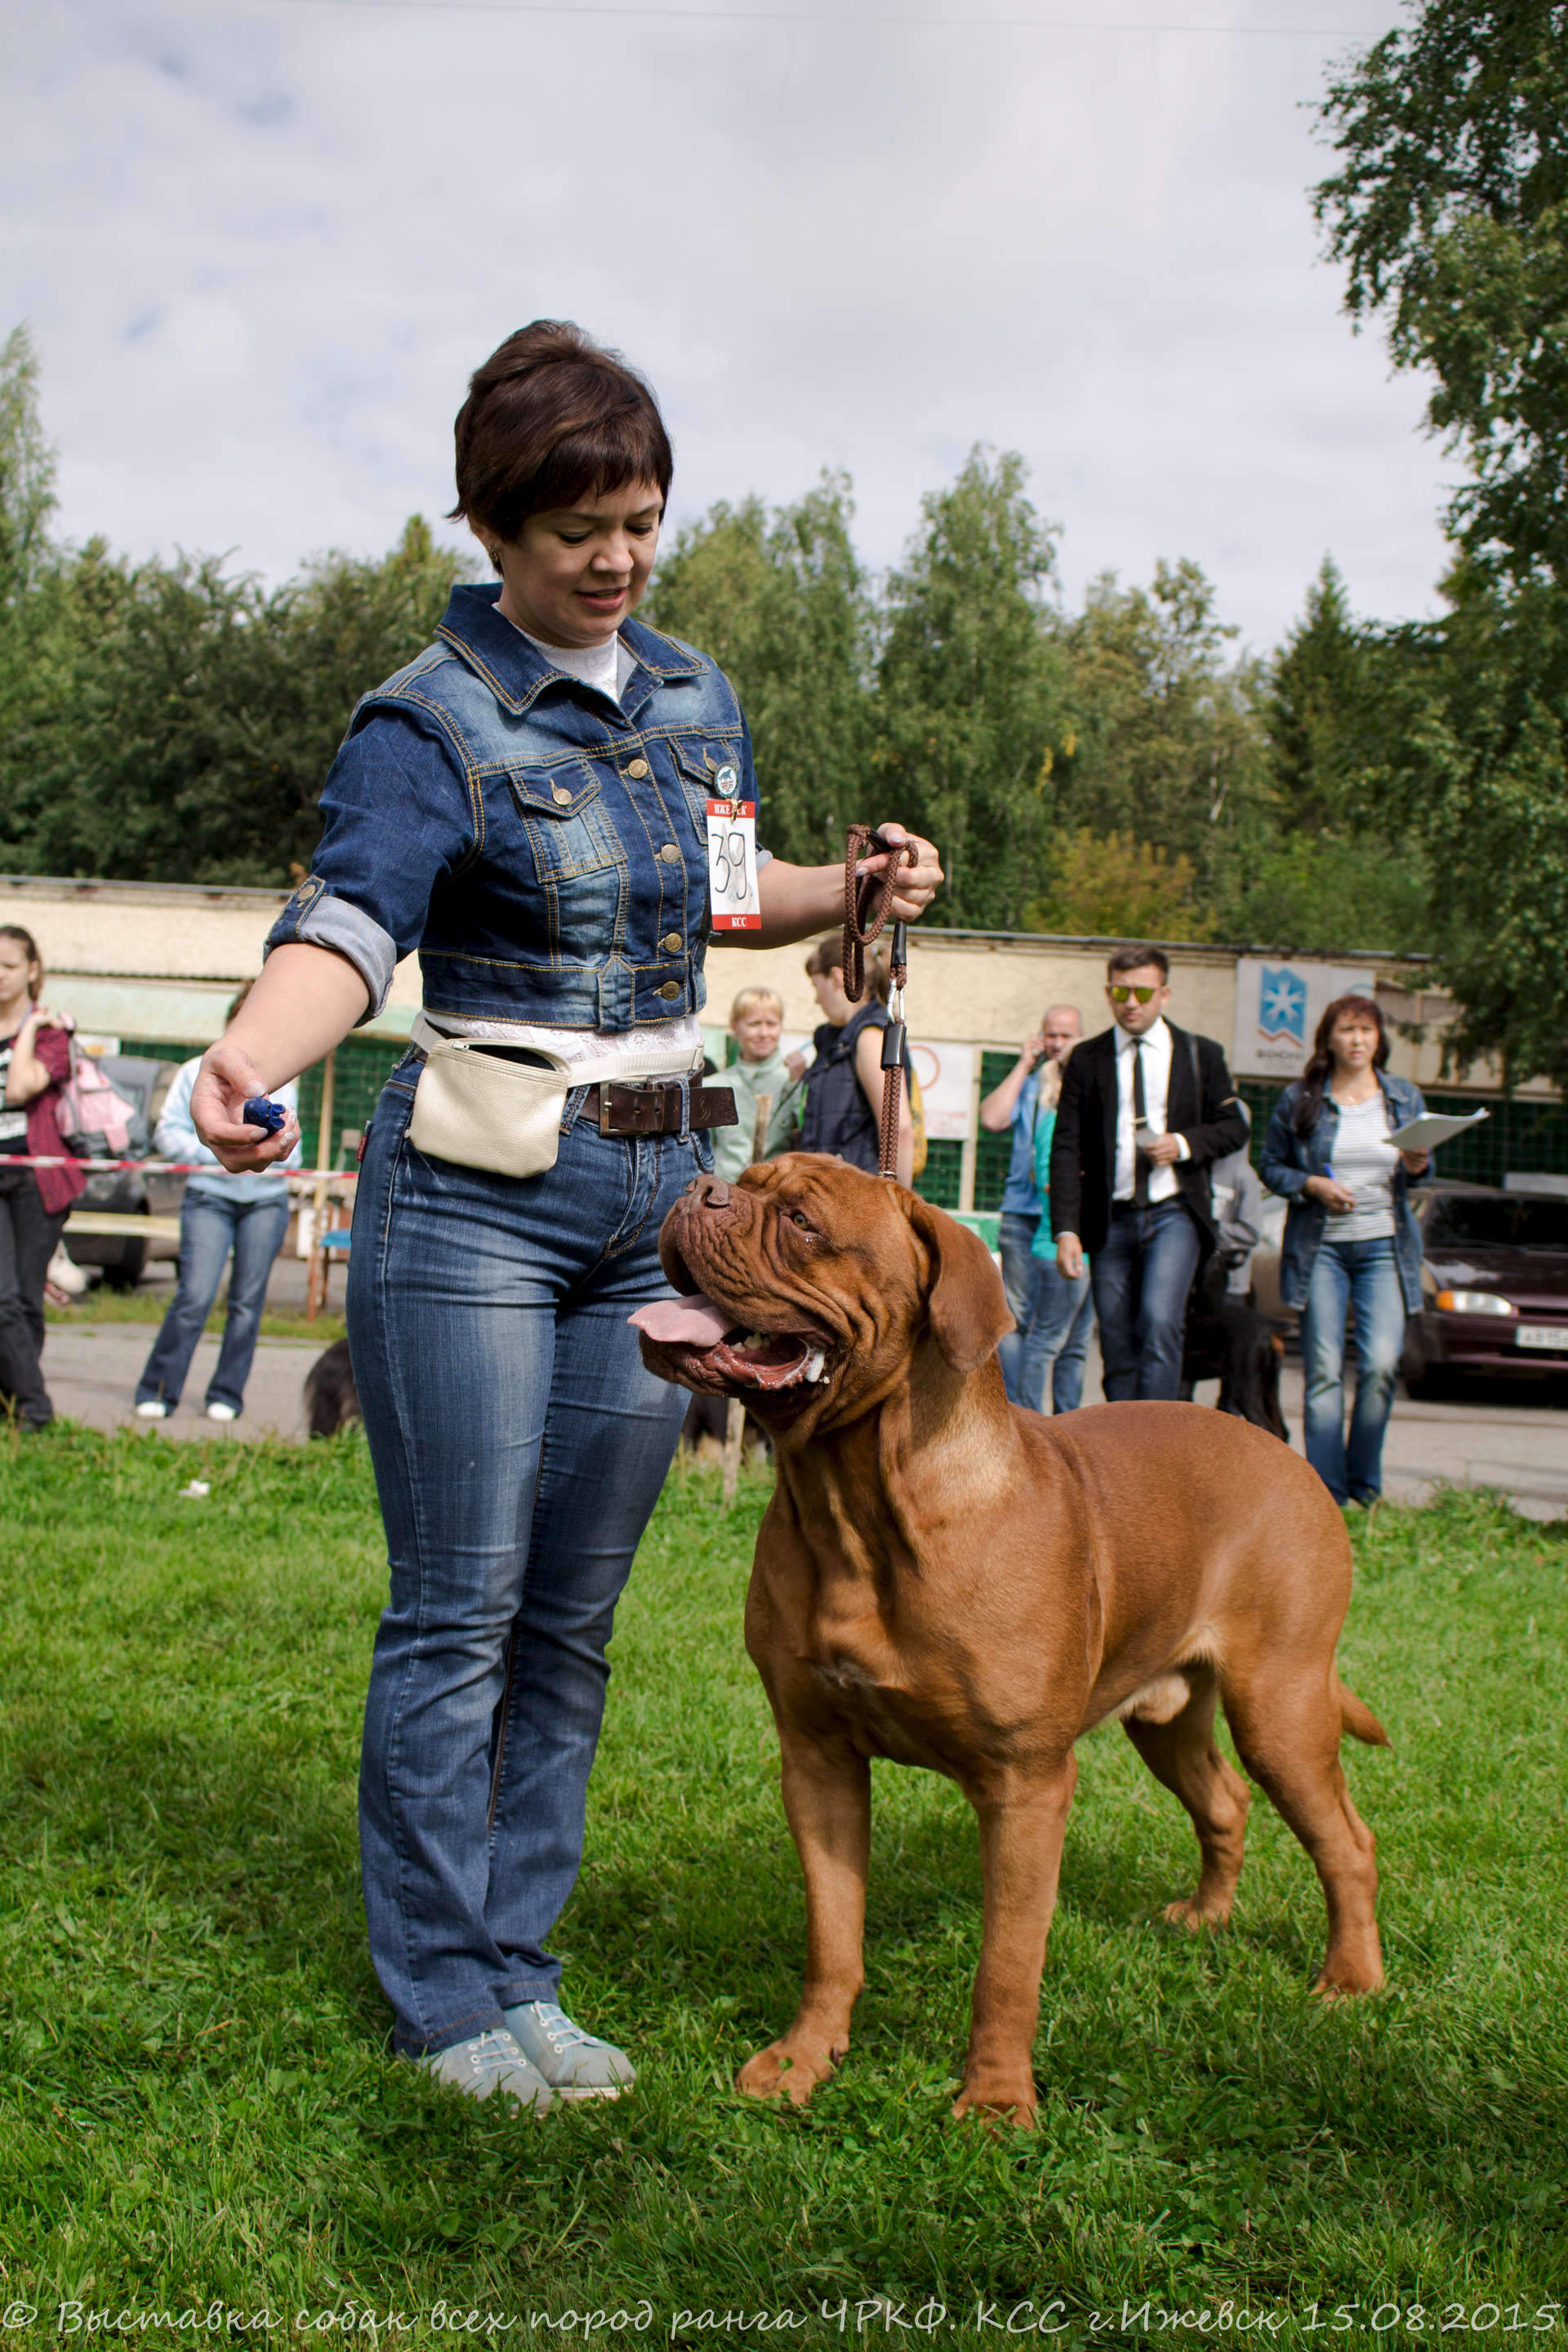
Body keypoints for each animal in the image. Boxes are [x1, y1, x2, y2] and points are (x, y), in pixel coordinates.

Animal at [630, 1158, 1387, 2129]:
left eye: (800, 1220)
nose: (700, 1188)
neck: (855, 1504)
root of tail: (1289, 1455)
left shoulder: (1026, 1785)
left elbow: (1008, 1963)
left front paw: (994, 2104)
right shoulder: (818, 1759)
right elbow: (833, 1933)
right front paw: (804, 2060)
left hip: (1281, 1707)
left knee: (1346, 1842)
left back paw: (1351, 1980)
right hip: (1167, 1713)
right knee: (1223, 1802)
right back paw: (1208, 1918)